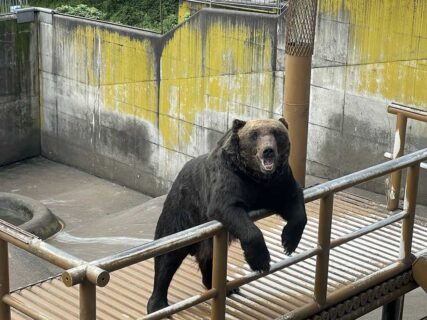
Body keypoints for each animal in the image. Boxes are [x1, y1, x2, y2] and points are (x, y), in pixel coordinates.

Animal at [148, 117, 308, 312]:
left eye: (277, 132)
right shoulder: (228, 180)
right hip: (182, 213)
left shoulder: (279, 182)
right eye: (254, 134)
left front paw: (289, 242)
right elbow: (230, 210)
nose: (268, 150)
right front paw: (260, 261)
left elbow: (294, 201)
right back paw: (157, 303)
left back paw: (226, 285)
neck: (256, 177)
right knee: (168, 256)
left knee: (210, 256)